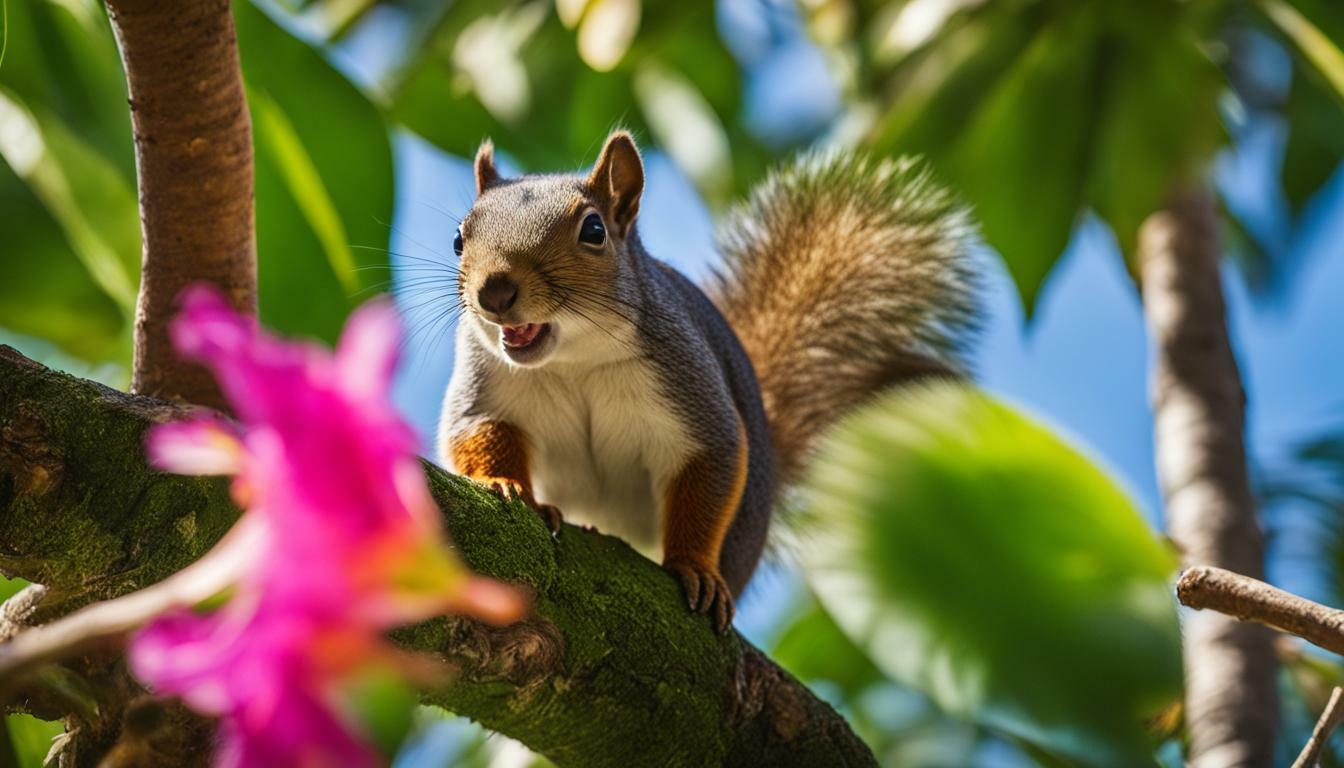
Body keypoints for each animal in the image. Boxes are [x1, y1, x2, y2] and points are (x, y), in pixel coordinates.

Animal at [440, 130, 978, 632]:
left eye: (593, 230)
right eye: (459, 238)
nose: (495, 292)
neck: (573, 359)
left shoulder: (686, 380)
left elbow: (710, 464)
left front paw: (693, 568)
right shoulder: (485, 387)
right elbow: (477, 432)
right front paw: (502, 481)